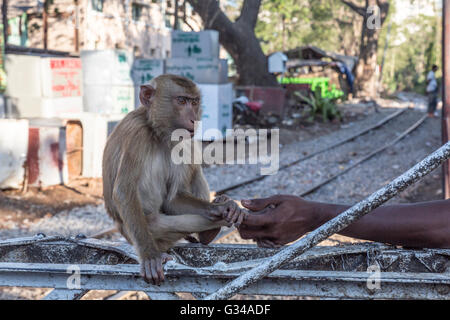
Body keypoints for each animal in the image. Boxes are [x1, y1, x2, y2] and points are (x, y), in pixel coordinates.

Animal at [102, 74, 246, 284]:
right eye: (181, 101)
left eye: (194, 102)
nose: (194, 119)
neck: (154, 128)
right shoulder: (137, 135)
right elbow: (123, 191)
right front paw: (149, 256)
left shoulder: (178, 139)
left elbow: (174, 199)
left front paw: (220, 208)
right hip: (142, 230)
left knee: (192, 161)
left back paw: (211, 227)